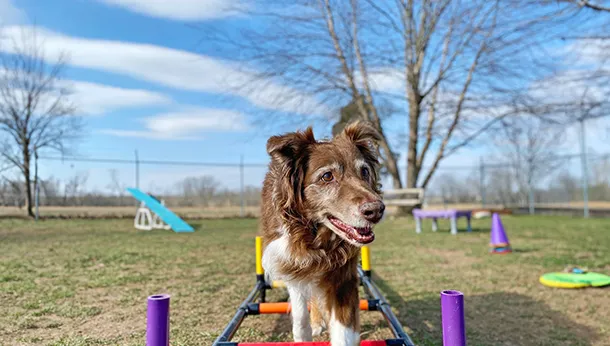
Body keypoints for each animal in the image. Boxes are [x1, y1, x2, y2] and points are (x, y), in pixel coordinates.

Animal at [258, 120, 382, 344]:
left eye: (364, 171)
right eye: (327, 176)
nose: (377, 210)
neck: (315, 235)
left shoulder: (343, 275)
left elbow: (344, 332)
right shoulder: (292, 261)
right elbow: (300, 313)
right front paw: (304, 334)